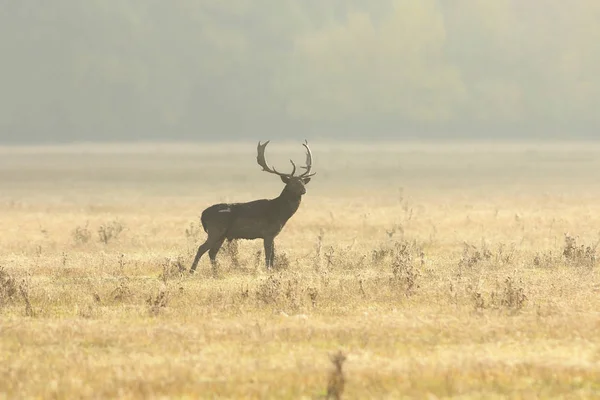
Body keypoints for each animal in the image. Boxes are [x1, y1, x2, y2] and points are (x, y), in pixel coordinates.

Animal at [190, 139, 316, 274]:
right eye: (292, 182)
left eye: (302, 182)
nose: (304, 190)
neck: (280, 213)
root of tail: (203, 215)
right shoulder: (268, 233)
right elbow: (268, 255)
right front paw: (268, 271)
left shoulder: (273, 234)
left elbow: (273, 255)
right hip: (215, 230)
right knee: (202, 248)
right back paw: (192, 271)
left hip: (221, 235)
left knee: (212, 252)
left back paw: (215, 273)